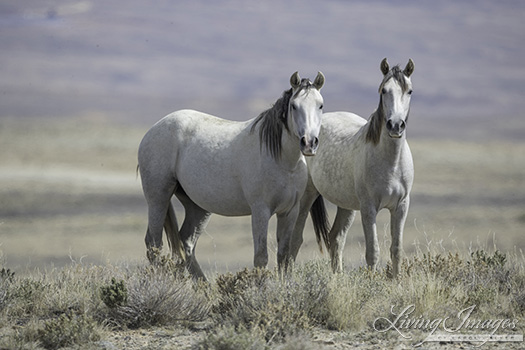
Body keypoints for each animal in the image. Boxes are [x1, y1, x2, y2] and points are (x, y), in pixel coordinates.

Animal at [136, 71, 324, 278]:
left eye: (320, 105)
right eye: (294, 105)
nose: (309, 143)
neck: (284, 161)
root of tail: (153, 129)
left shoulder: (290, 211)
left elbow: (284, 256)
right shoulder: (261, 210)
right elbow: (261, 257)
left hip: (197, 207)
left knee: (186, 242)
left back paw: (204, 285)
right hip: (158, 197)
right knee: (154, 244)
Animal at [292, 58, 412, 278]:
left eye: (409, 91)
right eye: (384, 90)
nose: (395, 125)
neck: (391, 163)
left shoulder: (401, 207)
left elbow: (396, 250)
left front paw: (397, 282)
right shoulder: (368, 208)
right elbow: (373, 252)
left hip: (346, 205)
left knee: (335, 238)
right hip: (307, 196)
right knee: (295, 240)